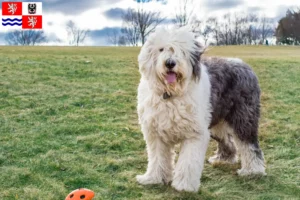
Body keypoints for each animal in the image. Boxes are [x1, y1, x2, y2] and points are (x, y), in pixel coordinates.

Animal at [136, 27, 264, 192]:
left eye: (182, 51)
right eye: (161, 49)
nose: (170, 63)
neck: (170, 94)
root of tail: (243, 64)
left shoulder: (194, 134)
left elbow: (188, 162)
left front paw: (184, 186)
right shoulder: (156, 133)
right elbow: (157, 158)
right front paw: (153, 178)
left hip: (243, 117)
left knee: (249, 144)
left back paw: (252, 170)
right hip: (217, 121)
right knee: (228, 140)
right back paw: (223, 159)